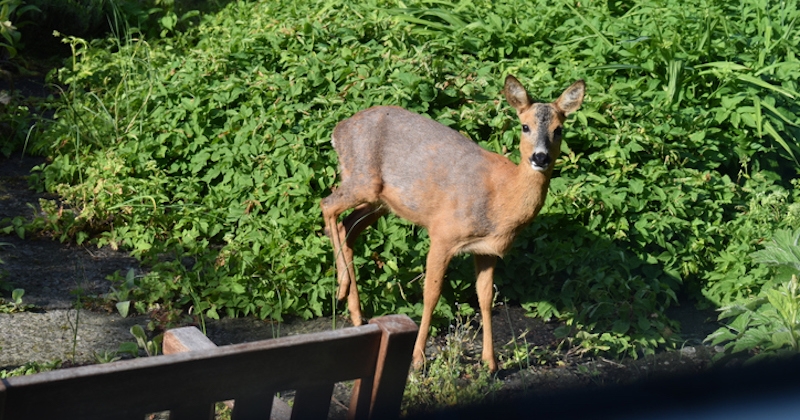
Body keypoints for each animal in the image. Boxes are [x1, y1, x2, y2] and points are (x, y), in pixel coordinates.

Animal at [320, 75, 588, 370]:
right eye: (525, 126)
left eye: (559, 129)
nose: (540, 157)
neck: (501, 199)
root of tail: (338, 131)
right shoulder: (443, 234)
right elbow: (431, 294)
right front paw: (418, 358)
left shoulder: (486, 251)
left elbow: (485, 298)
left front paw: (491, 363)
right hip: (363, 179)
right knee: (327, 205)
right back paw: (342, 288)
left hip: (380, 201)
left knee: (347, 226)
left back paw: (356, 313)